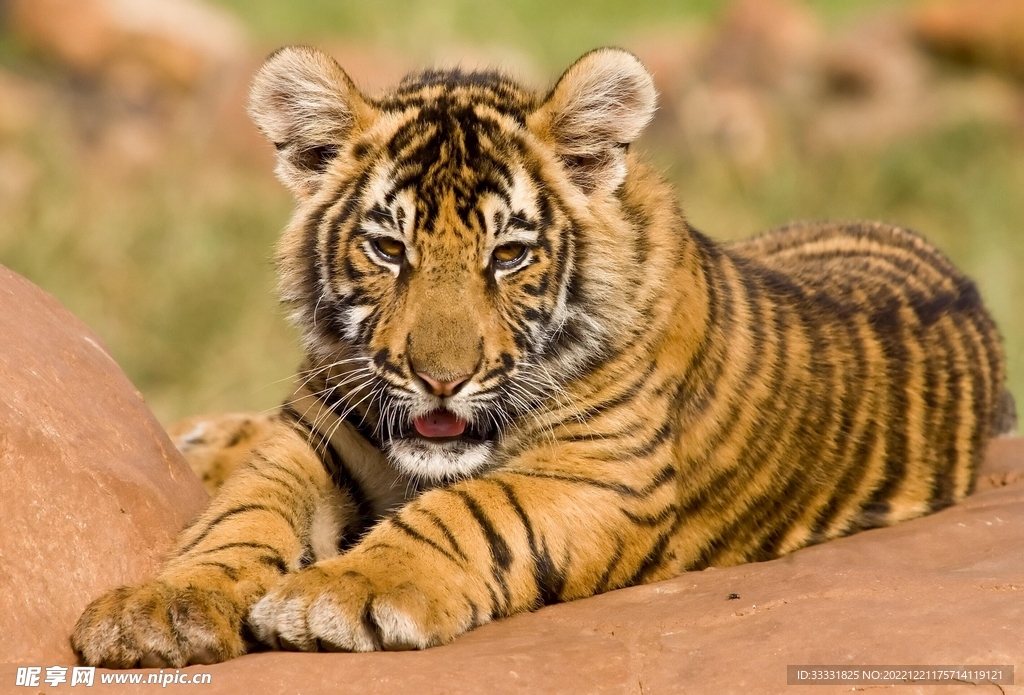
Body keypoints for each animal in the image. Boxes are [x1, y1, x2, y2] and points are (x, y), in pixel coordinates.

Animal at [71, 46, 1015, 668]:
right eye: (388, 249)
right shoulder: (310, 432)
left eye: (509, 255)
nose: (440, 378)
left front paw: (333, 593)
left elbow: (470, 510)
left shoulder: (600, 472)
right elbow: (242, 512)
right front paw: (159, 609)